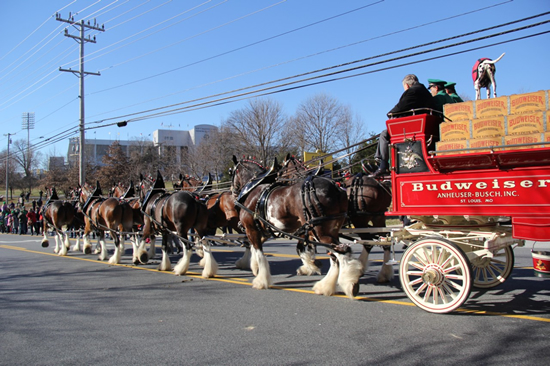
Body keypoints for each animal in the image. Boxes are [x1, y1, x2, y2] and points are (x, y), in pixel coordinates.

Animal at [231, 154, 364, 298]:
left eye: (232, 172)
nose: (233, 191)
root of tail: (337, 188)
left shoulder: (251, 229)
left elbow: (259, 252)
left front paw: (261, 280)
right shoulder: (268, 230)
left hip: (320, 232)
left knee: (342, 252)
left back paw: (349, 284)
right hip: (330, 230)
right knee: (335, 256)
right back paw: (325, 286)